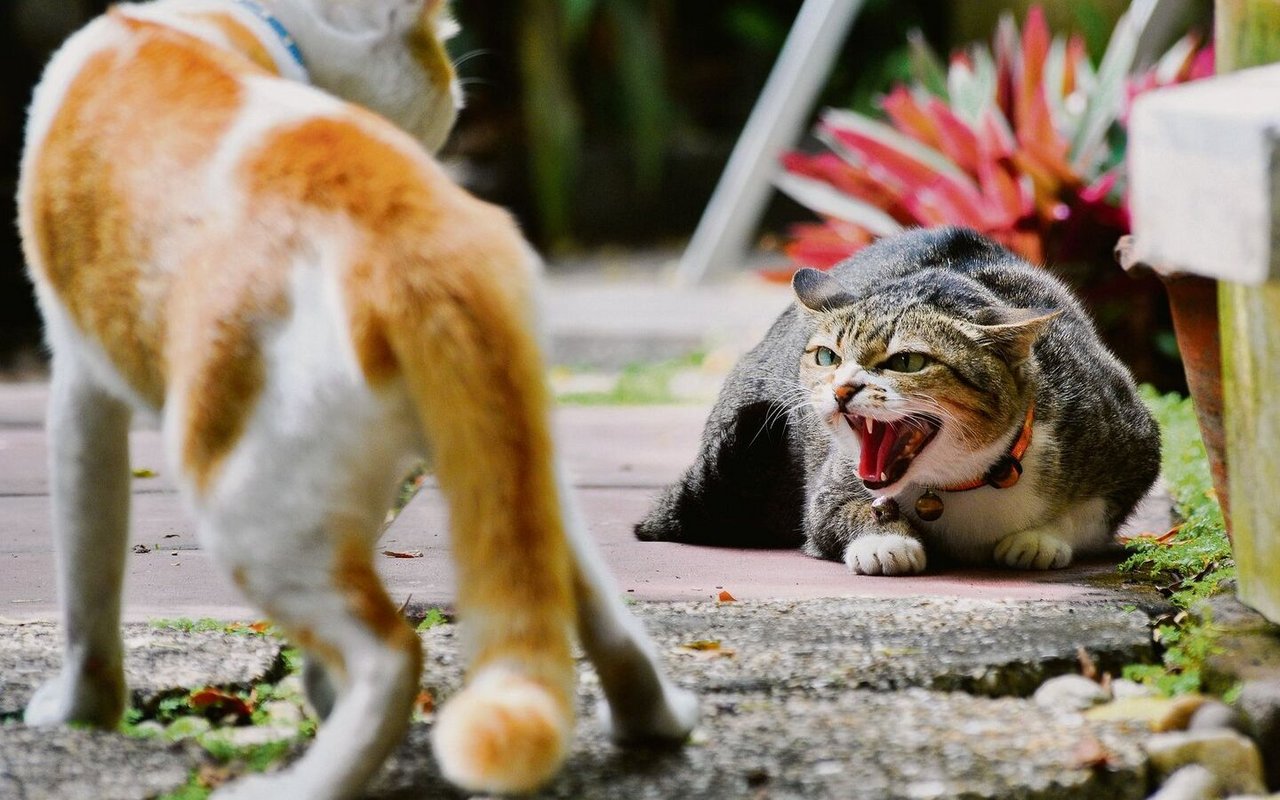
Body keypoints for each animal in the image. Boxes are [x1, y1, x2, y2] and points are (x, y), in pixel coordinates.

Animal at [20, 1, 696, 798]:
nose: (459, 91)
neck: (223, 21)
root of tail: (421, 239)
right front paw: (317, 690)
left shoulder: (78, 387)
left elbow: (86, 589)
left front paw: (80, 713)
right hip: (507, 463)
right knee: (595, 611)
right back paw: (653, 723)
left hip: (247, 505)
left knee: (390, 654)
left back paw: (302, 784)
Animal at [634, 227, 1167, 576]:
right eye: (827, 356)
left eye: (907, 362)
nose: (842, 388)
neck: (961, 484)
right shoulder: (829, 486)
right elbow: (837, 513)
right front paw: (887, 542)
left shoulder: (1135, 438)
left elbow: (1091, 515)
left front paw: (1040, 539)